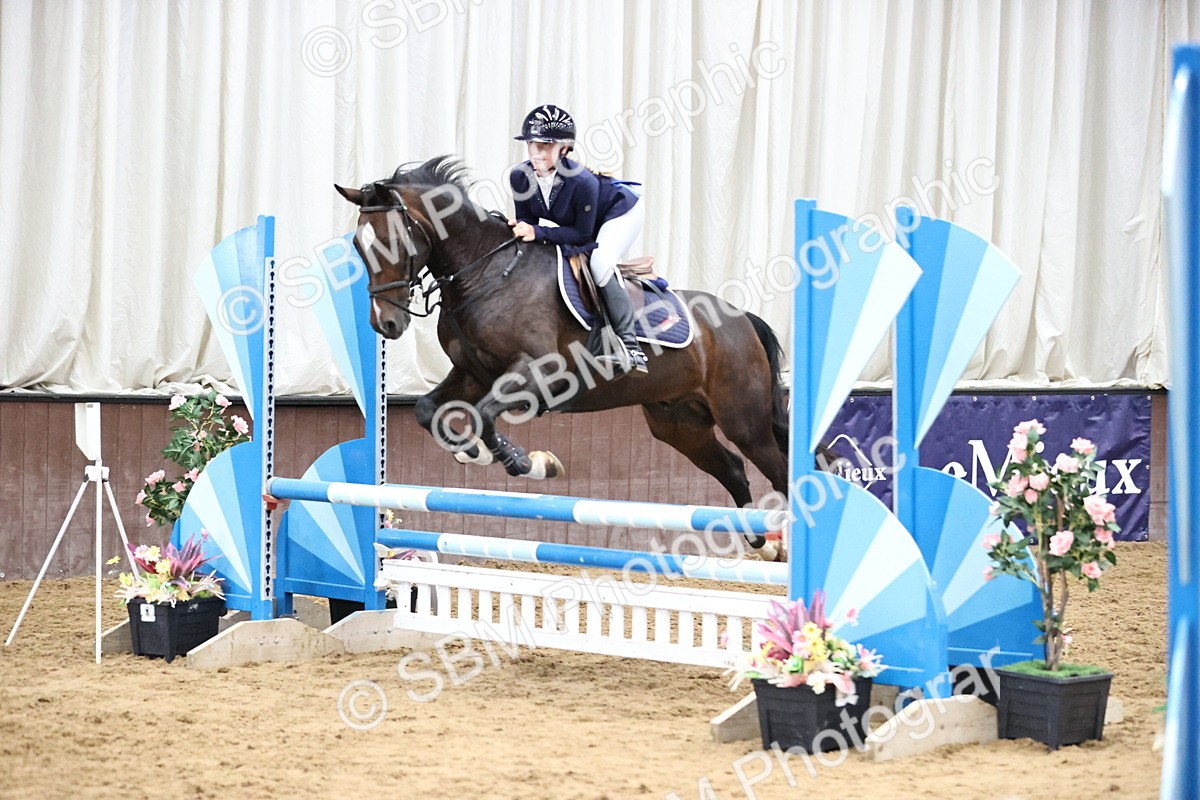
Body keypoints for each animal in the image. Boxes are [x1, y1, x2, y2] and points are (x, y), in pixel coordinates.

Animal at [335, 156, 815, 559]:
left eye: (394, 241)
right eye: (358, 246)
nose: (386, 324)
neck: (484, 274)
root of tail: (741, 318)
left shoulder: (538, 372)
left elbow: (487, 416)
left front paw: (528, 463)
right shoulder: (473, 374)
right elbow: (427, 409)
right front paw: (472, 455)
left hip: (743, 419)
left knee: (779, 471)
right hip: (679, 423)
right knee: (732, 469)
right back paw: (763, 544)